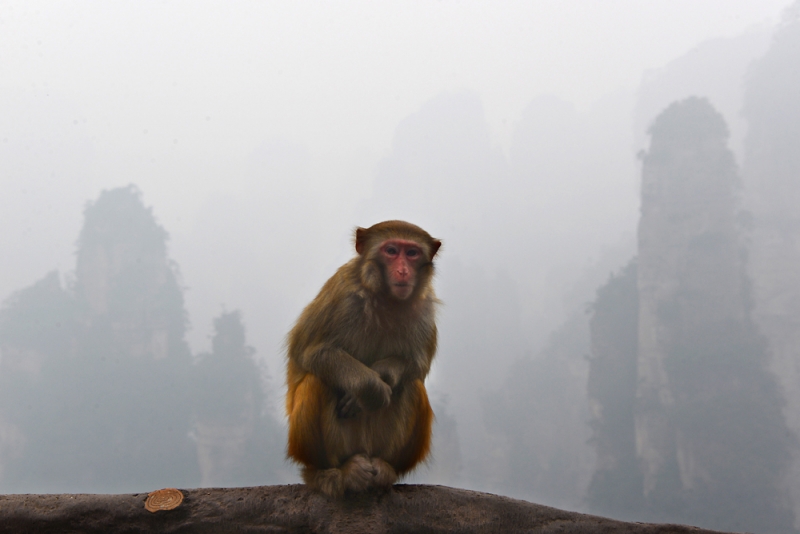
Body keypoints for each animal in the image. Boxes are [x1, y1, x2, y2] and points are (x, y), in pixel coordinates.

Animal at [284, 220, 440, 500]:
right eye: (391, 251)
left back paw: (385, 468)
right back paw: (333, 474)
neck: (386, 300)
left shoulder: (424, 310)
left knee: (412, 385)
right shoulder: (342, 294)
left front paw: (383, 373)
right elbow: (309, 351)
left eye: (412, 253)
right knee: (316, 381)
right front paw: (371, 388)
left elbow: (417, 365)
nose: (403, 271)